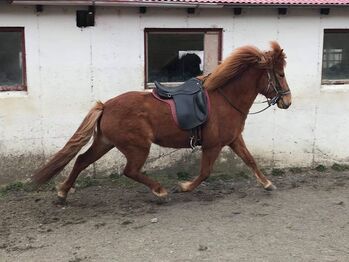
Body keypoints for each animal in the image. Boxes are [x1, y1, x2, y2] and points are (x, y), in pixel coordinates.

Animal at [32, 41, 290, 201]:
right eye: (280, 74)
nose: (287, 101)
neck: (224, 98)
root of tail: (105, 106)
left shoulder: (234, 139)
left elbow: (251, 161)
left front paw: (268, 184)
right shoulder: (213, 145)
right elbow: (205, 172)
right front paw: (185, 187)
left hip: (105, 142)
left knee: (81, 161)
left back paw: (63, 193)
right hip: (137, 146)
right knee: (130, 170)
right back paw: (159, 190)